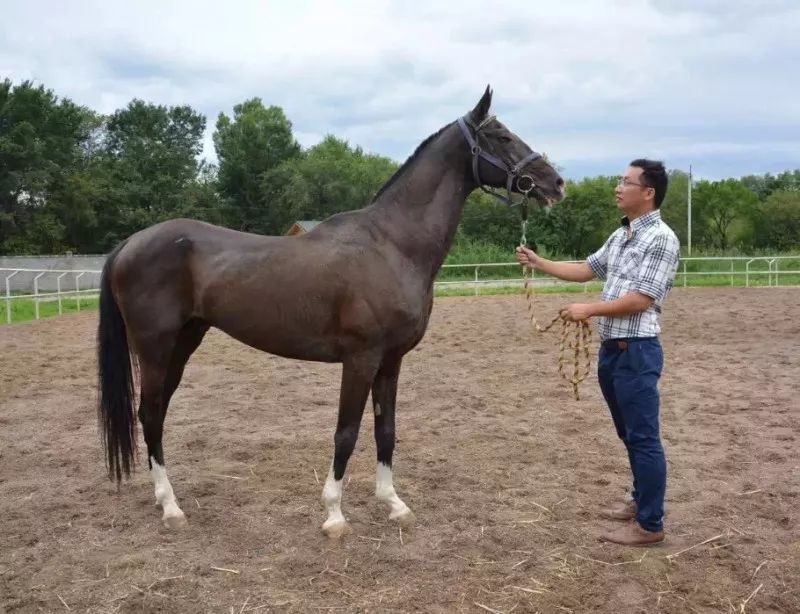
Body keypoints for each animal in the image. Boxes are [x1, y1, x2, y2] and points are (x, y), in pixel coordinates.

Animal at [97, 86, 564, 540]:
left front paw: (393, 504)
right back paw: (171, 508)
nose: (556, 183)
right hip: (155, 350)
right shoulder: (360, 359)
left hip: (184, 343)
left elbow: (385, 430)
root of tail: (129, 243)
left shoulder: (391, 361)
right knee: (149, 413)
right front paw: (335, 515)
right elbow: (346, 433)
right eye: (501, 136)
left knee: (157, 413)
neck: (392, 245)